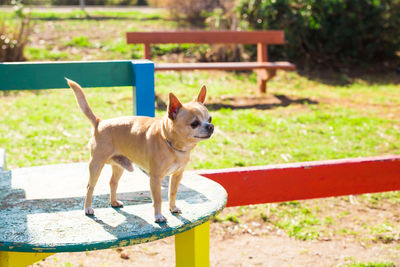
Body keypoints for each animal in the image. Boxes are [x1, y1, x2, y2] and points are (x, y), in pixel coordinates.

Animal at [67, 78, 214, 223]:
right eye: (194, 124)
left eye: (210, 119)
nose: (211, 126)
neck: (172, 145)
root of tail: (100, 123)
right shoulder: (155, 178)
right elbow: (158, 199)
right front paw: (158, 216)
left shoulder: (177, 176)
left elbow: (172, 193)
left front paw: (173, 208)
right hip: (96, 165)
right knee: (90, 186)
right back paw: (87, 208)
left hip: (119, 166)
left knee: (113, 182)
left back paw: (114, 202)